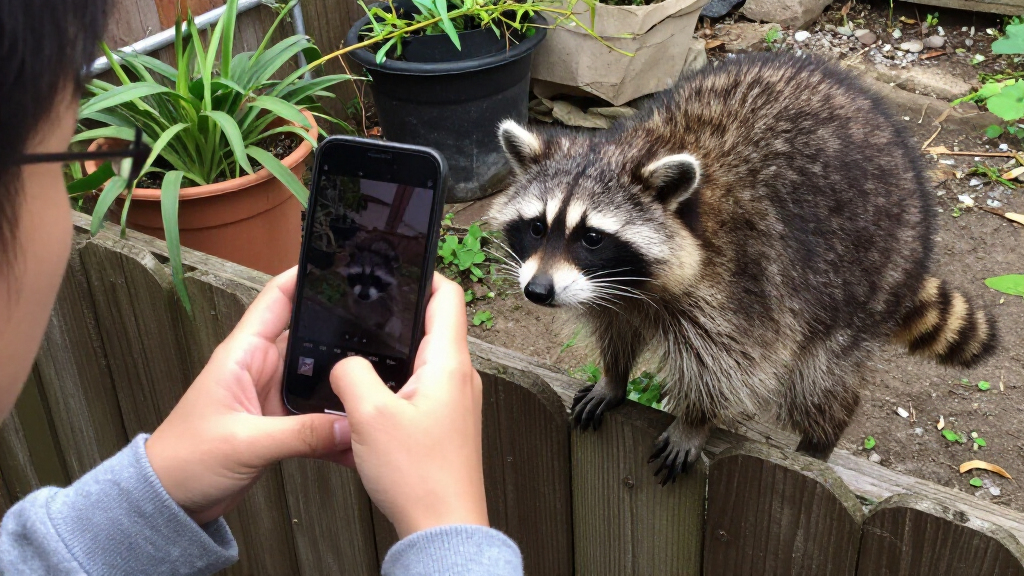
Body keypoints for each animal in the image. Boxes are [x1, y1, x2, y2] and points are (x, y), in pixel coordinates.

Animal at [489, 54, 996, 485]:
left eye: (592, 237)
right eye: (536, 227)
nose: (538, 291)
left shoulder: (742, 279)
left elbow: (730, 364)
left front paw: (694, 420)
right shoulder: (605, 291)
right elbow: (614, 327)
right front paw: (614, 377)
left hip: (869, 273)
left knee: (818, 381)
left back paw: (819, 441)